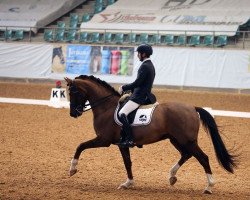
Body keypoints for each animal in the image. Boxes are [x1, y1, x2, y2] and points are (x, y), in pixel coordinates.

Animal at [64, 74, 236, 194]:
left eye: (73, 92)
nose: (73, 113)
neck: (106, 107)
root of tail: (193, 108)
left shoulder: (103, 140)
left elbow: (80, 146)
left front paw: (72, 169)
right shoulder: (122, 144)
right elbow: (127, 162)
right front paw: (128, 183)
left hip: (187, 140)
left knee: (203, 158)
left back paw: (209, 187)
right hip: (176, 139)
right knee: (186, 154)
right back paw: (172, 176)